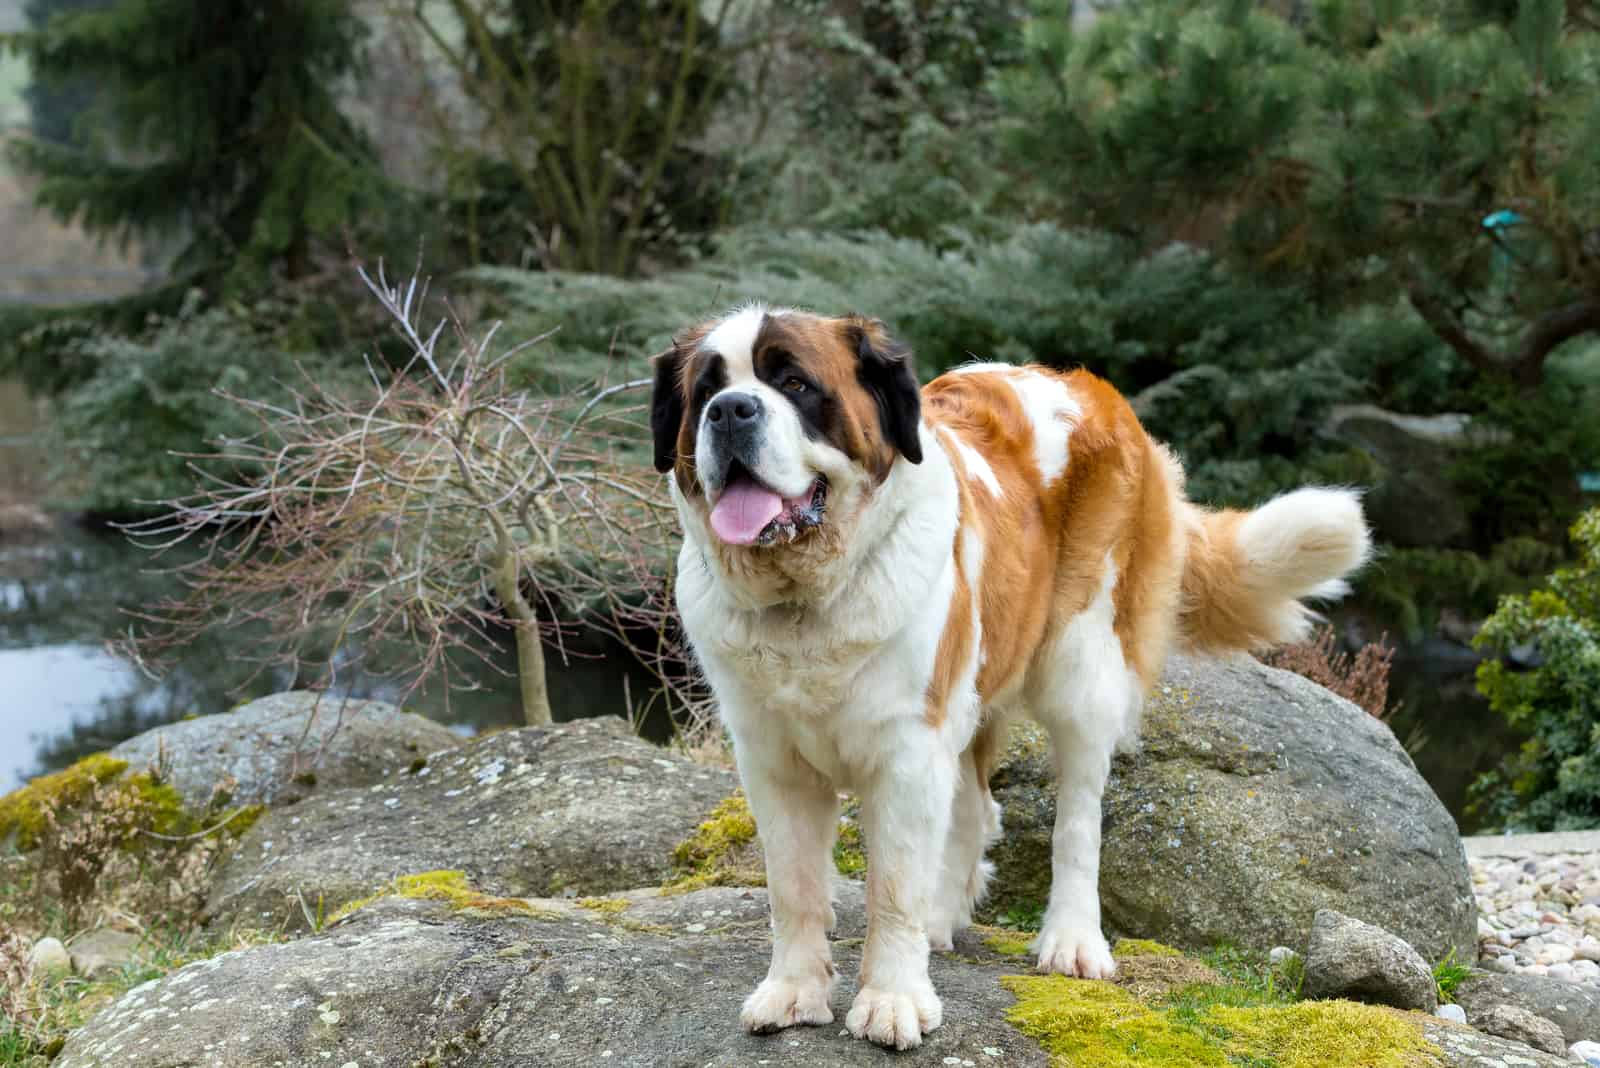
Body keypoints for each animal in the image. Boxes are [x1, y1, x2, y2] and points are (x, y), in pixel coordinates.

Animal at [643, 303, 1369, 1048]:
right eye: (707, 390)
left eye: (794, 383)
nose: (731, 411)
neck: (804, 602)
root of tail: (1085, 385)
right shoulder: (773, 760)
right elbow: (794, 888)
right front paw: (793, 992)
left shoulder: (908, 750)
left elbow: (892, 888)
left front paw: (893, 999)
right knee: (974, 808)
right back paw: (944, 918)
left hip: (1081, 667)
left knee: (1077, 818)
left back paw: (1071, 939)